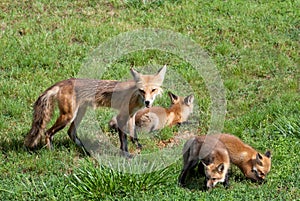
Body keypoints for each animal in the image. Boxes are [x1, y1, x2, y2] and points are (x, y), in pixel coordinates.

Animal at [24, 65, 166, 155]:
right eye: (142, 90)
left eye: (153, 90)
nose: (147, 102)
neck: (135, 96)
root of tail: (63, 82)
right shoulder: (122, 116)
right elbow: (124, 140)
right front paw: (126, 155)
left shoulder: (131, 115)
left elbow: (133, 135)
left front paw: (138, 149)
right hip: (68, 116)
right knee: (47, 132)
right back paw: (51, 151)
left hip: (80, 113)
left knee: (71, 133)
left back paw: (86, 151)